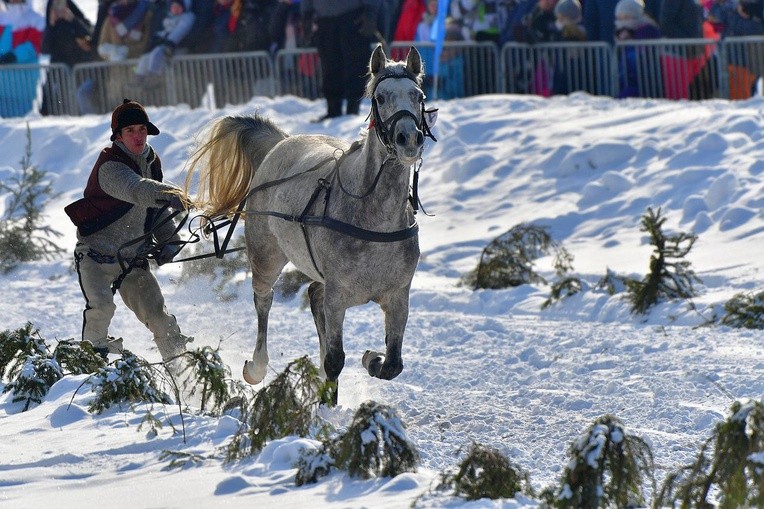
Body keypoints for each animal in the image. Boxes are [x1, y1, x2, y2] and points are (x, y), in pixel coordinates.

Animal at [184, 45, 436, 398]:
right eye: (381, 97)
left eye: (418, 95)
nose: (408, 139)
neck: (375, 218)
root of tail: (280, 142)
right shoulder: (337, 297)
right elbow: (335, 358)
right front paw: (328, 398)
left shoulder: (398, 296)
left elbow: (392, 365)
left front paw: (372, 358)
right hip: (265, 256)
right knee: (264, 300)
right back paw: (257, 366)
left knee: (313, 294)